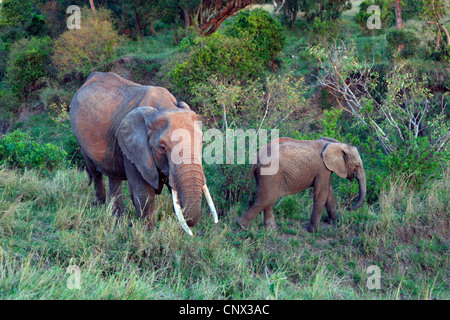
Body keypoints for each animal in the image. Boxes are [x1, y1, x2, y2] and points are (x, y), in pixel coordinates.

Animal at [70, 71, 218, 234]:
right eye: (162, 147)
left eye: (202, 142)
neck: (165, 106)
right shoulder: (132, 148)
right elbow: (144, 193)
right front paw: (149, 234)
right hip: (79, 138)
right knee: (95, 173)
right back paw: (101, 208)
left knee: (113, 175)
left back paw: (117, 219)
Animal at [236, 136, 366, 231]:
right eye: (357, 165)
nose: (349, 208)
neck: (336, 144)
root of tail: (256, 159)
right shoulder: (322, 168)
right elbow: (321, 193)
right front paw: (313, 231)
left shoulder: (326, 170)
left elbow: (329, 192)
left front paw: (335, 223)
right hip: (270, 173)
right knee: (267, 199)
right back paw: (242, 226)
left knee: (268, 200)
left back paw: (272, 229)